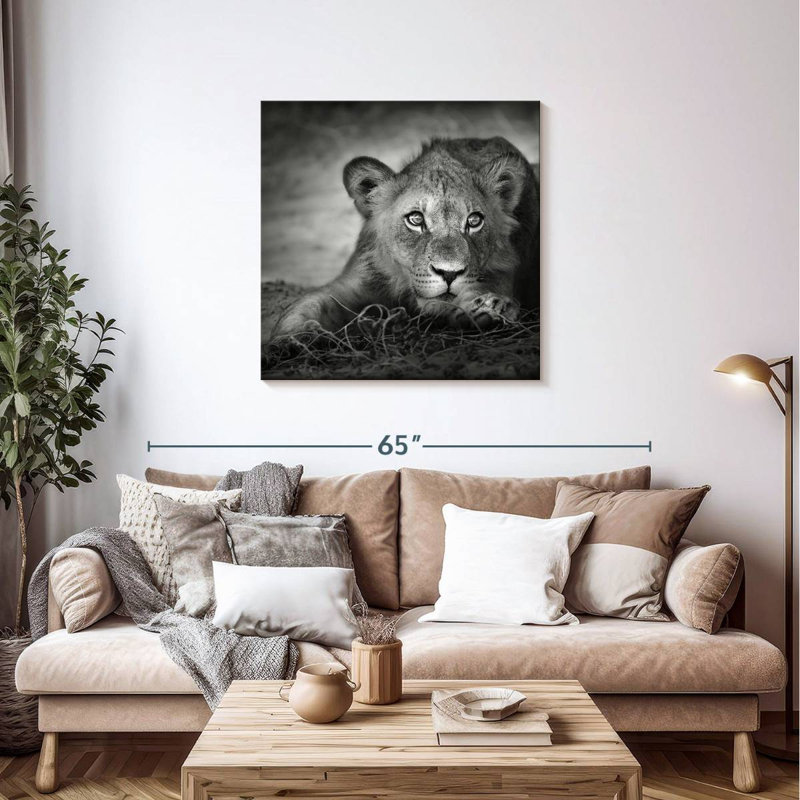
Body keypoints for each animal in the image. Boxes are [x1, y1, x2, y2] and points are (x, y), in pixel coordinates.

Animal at [271, 136, 539, 337]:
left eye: (474, 221)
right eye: (416, 219)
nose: (449, 273)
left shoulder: (501, 274)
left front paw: (491, 308)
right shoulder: (355, 281)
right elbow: (306, 304)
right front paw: (294, 337)